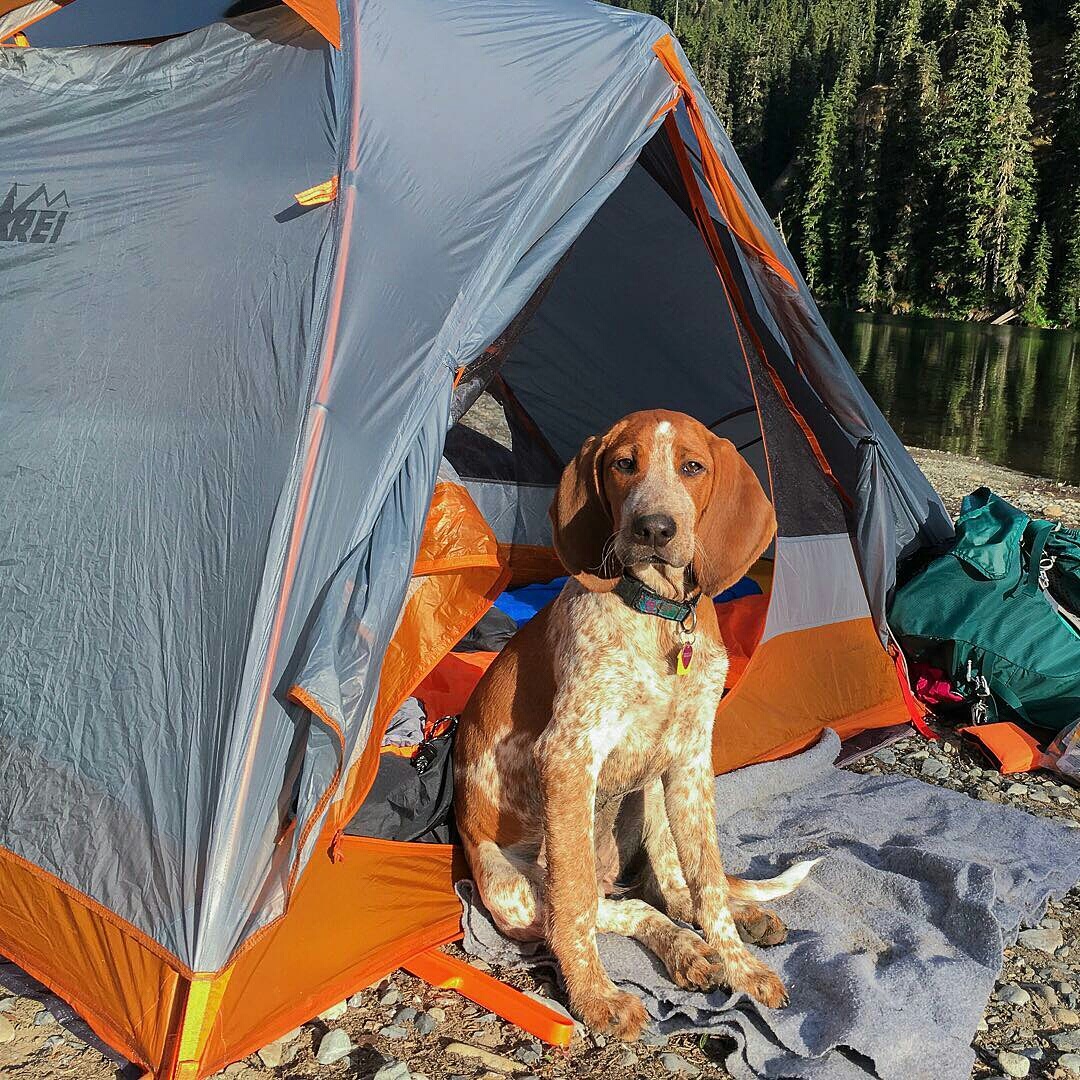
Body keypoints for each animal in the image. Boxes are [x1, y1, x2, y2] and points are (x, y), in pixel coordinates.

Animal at [451, 408, 812, 1041]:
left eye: (692, 467)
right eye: (624, 464)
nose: (654, 529)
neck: (661, 616)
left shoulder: (691, 760)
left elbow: (709, 880)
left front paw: (743, 967)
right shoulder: (570, 755)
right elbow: (574, 911)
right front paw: (594, 997)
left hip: (656, 801)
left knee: (670, 889)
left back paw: (727, 929)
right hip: (512, 893)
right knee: (611, 906)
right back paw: (685, 950)